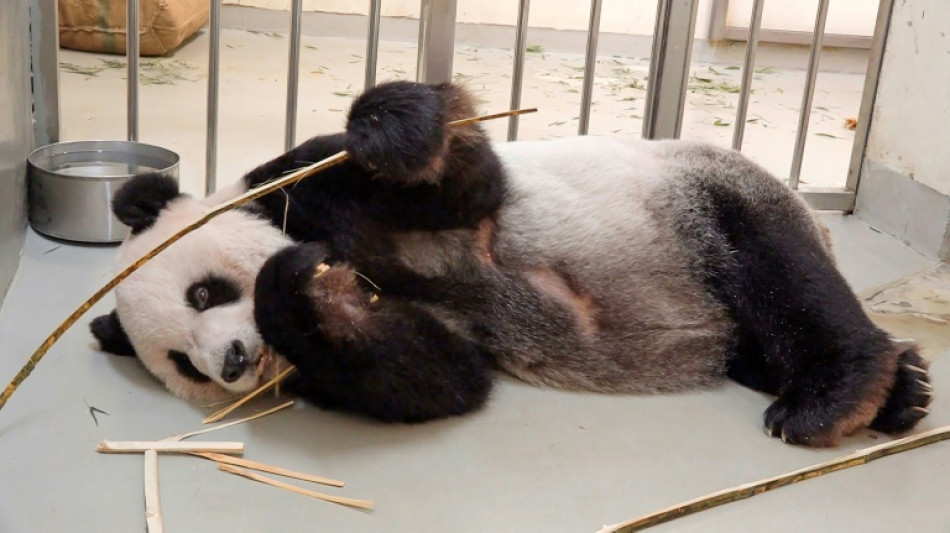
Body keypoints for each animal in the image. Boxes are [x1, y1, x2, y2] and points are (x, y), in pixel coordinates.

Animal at [90, 81, 932, 447]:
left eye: (204, 292)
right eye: (184, 365)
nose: (233, 361)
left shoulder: (306, 185)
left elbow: (463, 182)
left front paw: (392, 129)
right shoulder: (363, 357)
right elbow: (434, 374)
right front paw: (310, 294)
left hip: (702, 198)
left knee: (783, 275)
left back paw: (837, 393)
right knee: (760, 333)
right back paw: (902, 390)